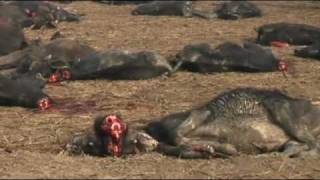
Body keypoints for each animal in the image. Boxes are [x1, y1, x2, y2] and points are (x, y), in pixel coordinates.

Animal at [66, 88, 320, 158]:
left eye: (114, 128)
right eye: (107, 145)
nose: (73, 144)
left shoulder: (192, 115)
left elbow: (182, 130)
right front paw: (215, 149)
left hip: (283, 108)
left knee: (313, 144)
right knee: (299, 144)